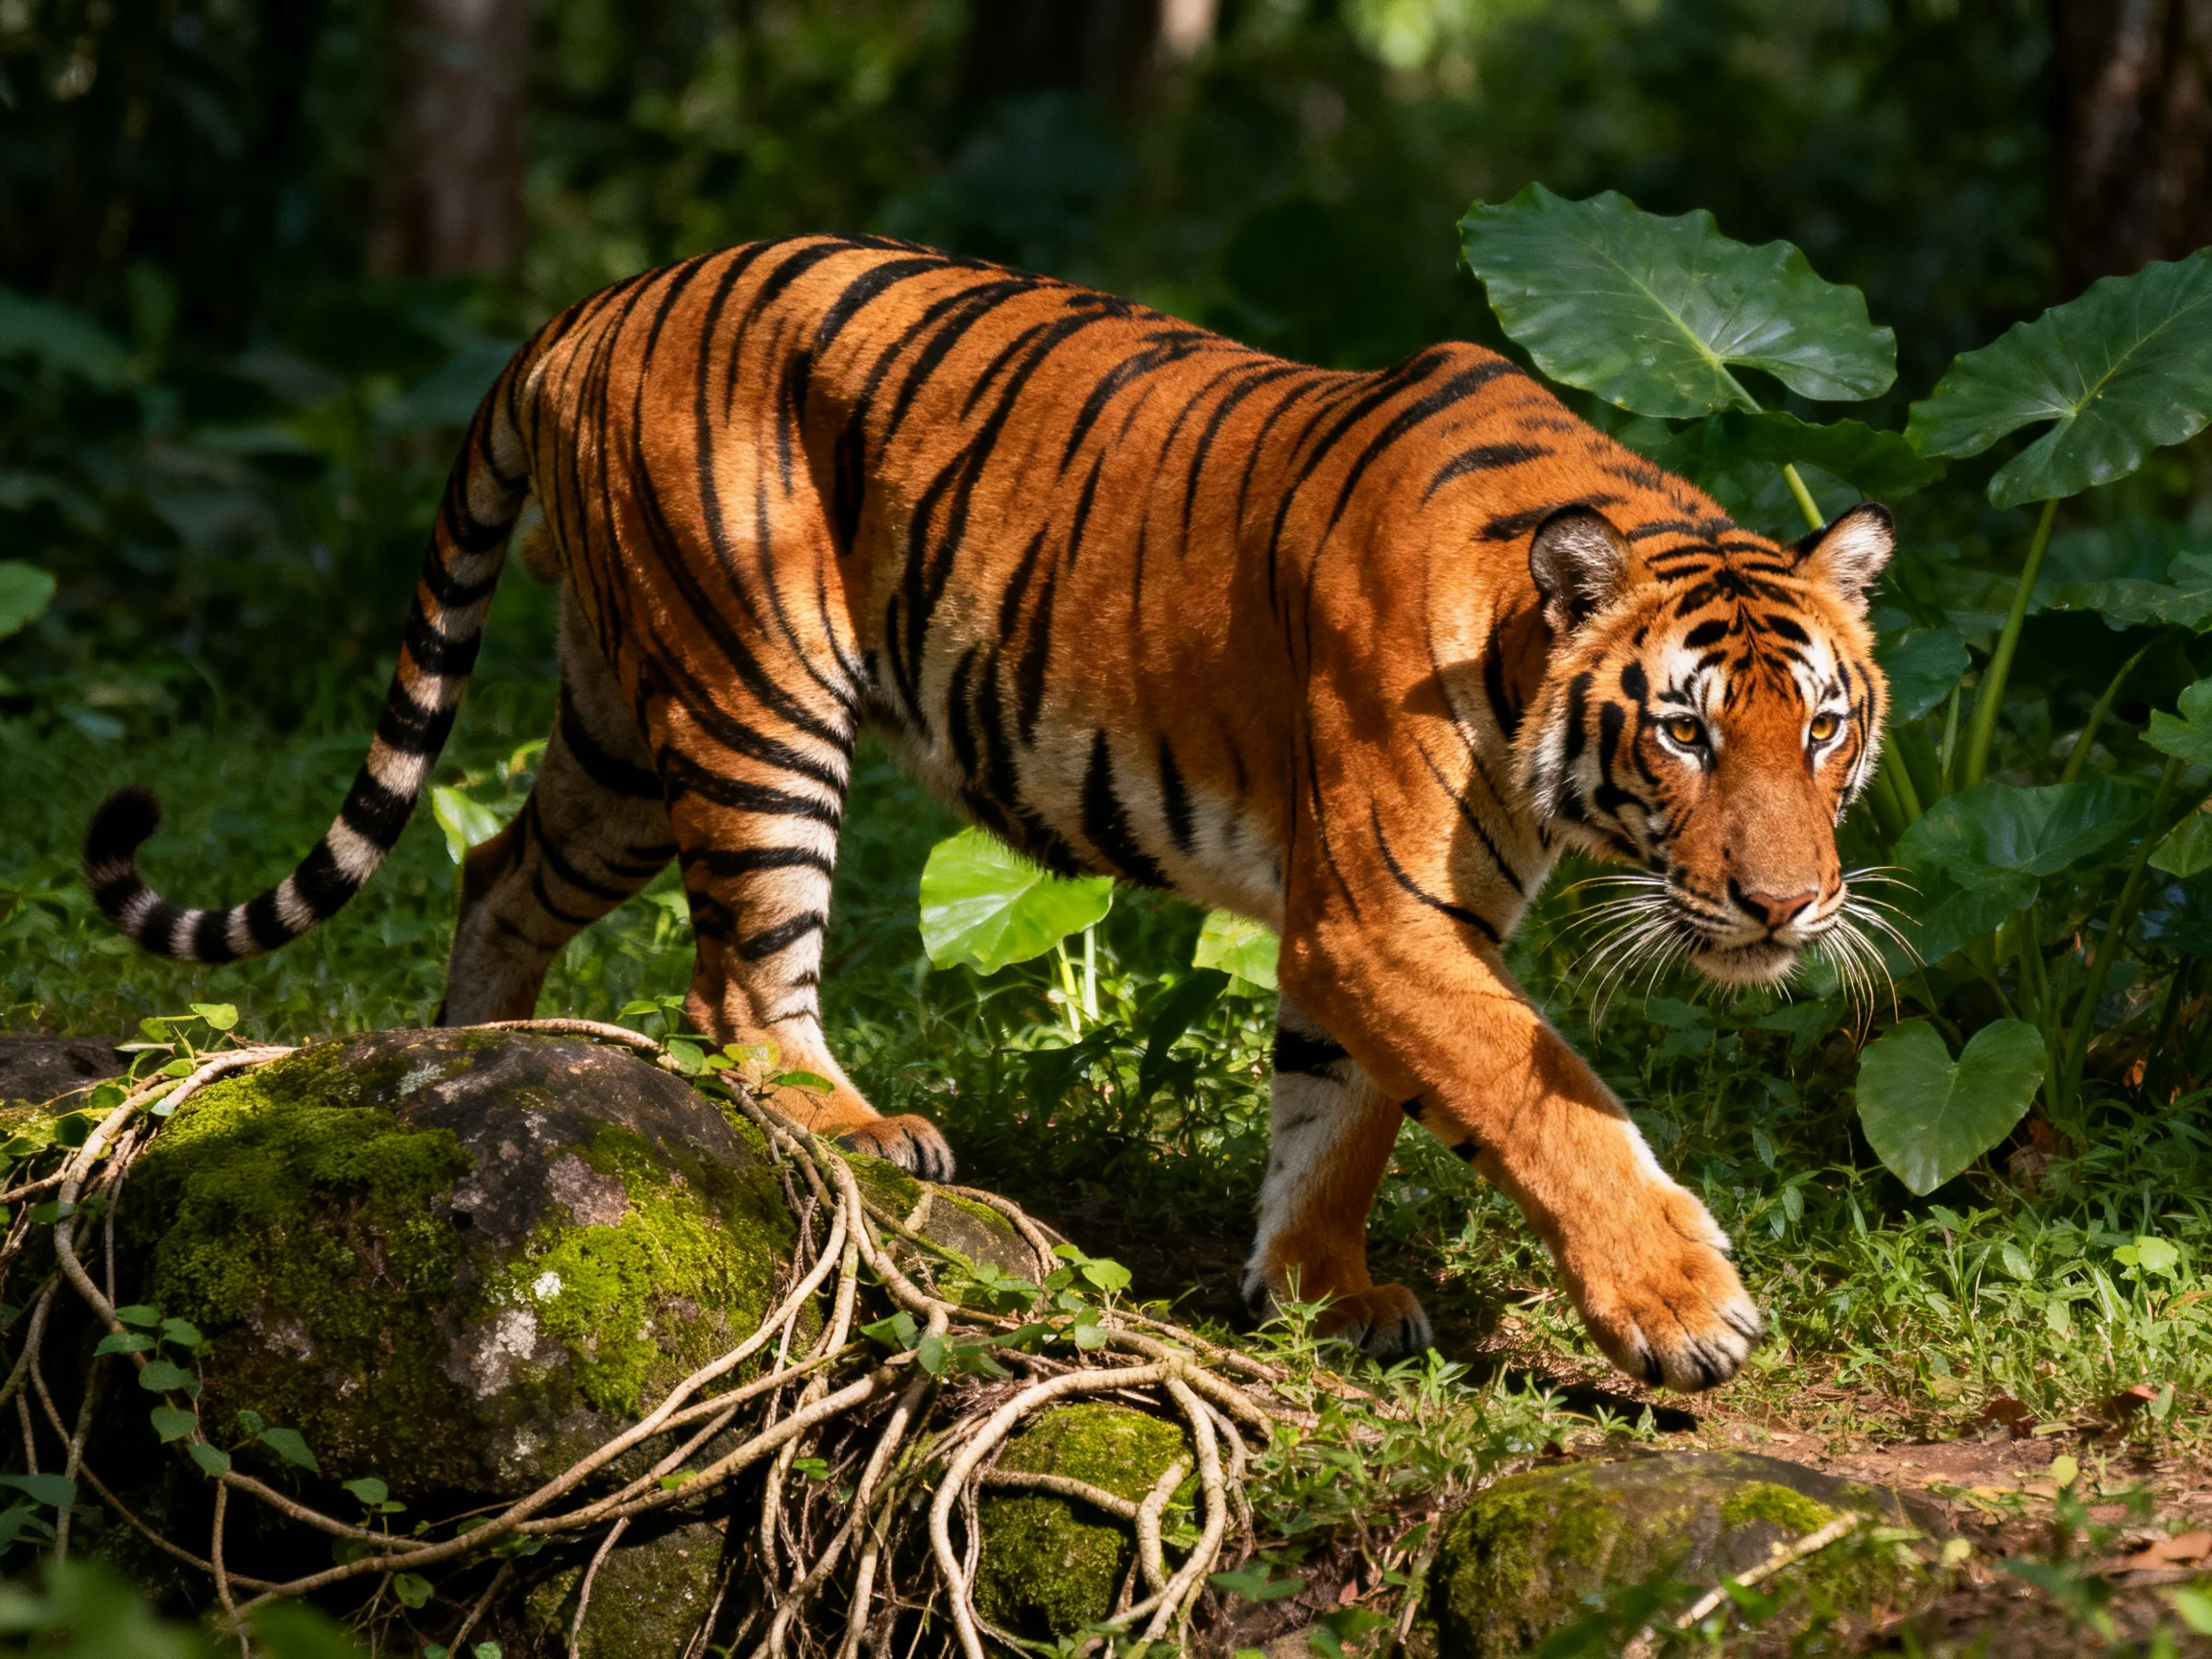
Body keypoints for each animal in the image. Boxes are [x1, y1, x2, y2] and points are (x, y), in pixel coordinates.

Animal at [84, 234, 1893, 1393]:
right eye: (1682, 735)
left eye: (1817, 729)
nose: (1787, 908)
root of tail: (590, 306)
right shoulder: (1380, 912)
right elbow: (1543, 1096)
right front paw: (1681, 1308)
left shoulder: (1374, 929)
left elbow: (1339, 1111)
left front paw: (1316, 1292)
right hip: (753, 694)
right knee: (734, 982)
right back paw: (854, 1124)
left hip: (616, 730)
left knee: (496, 870)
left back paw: (469, 1062)